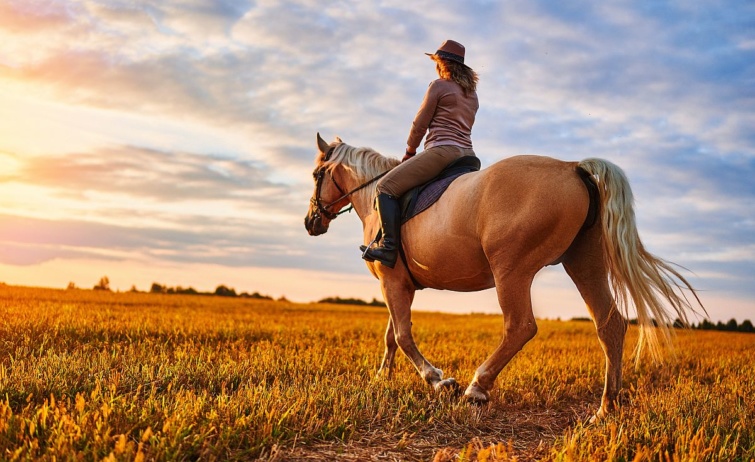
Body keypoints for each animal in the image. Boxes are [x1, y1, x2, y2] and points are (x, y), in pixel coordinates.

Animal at [304, 133, 704, 418]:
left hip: (511, 270)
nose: (310, 223)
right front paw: (381, 379)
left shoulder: (392, 282)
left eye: (316, 174)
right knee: (611, 325)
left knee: (520, 326)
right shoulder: (399, 284)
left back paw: (477, 388)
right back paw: (606, 409)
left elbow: (402, 336)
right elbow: (391, 336)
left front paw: (439, 381)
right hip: (584, 262)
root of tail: (573, 167)